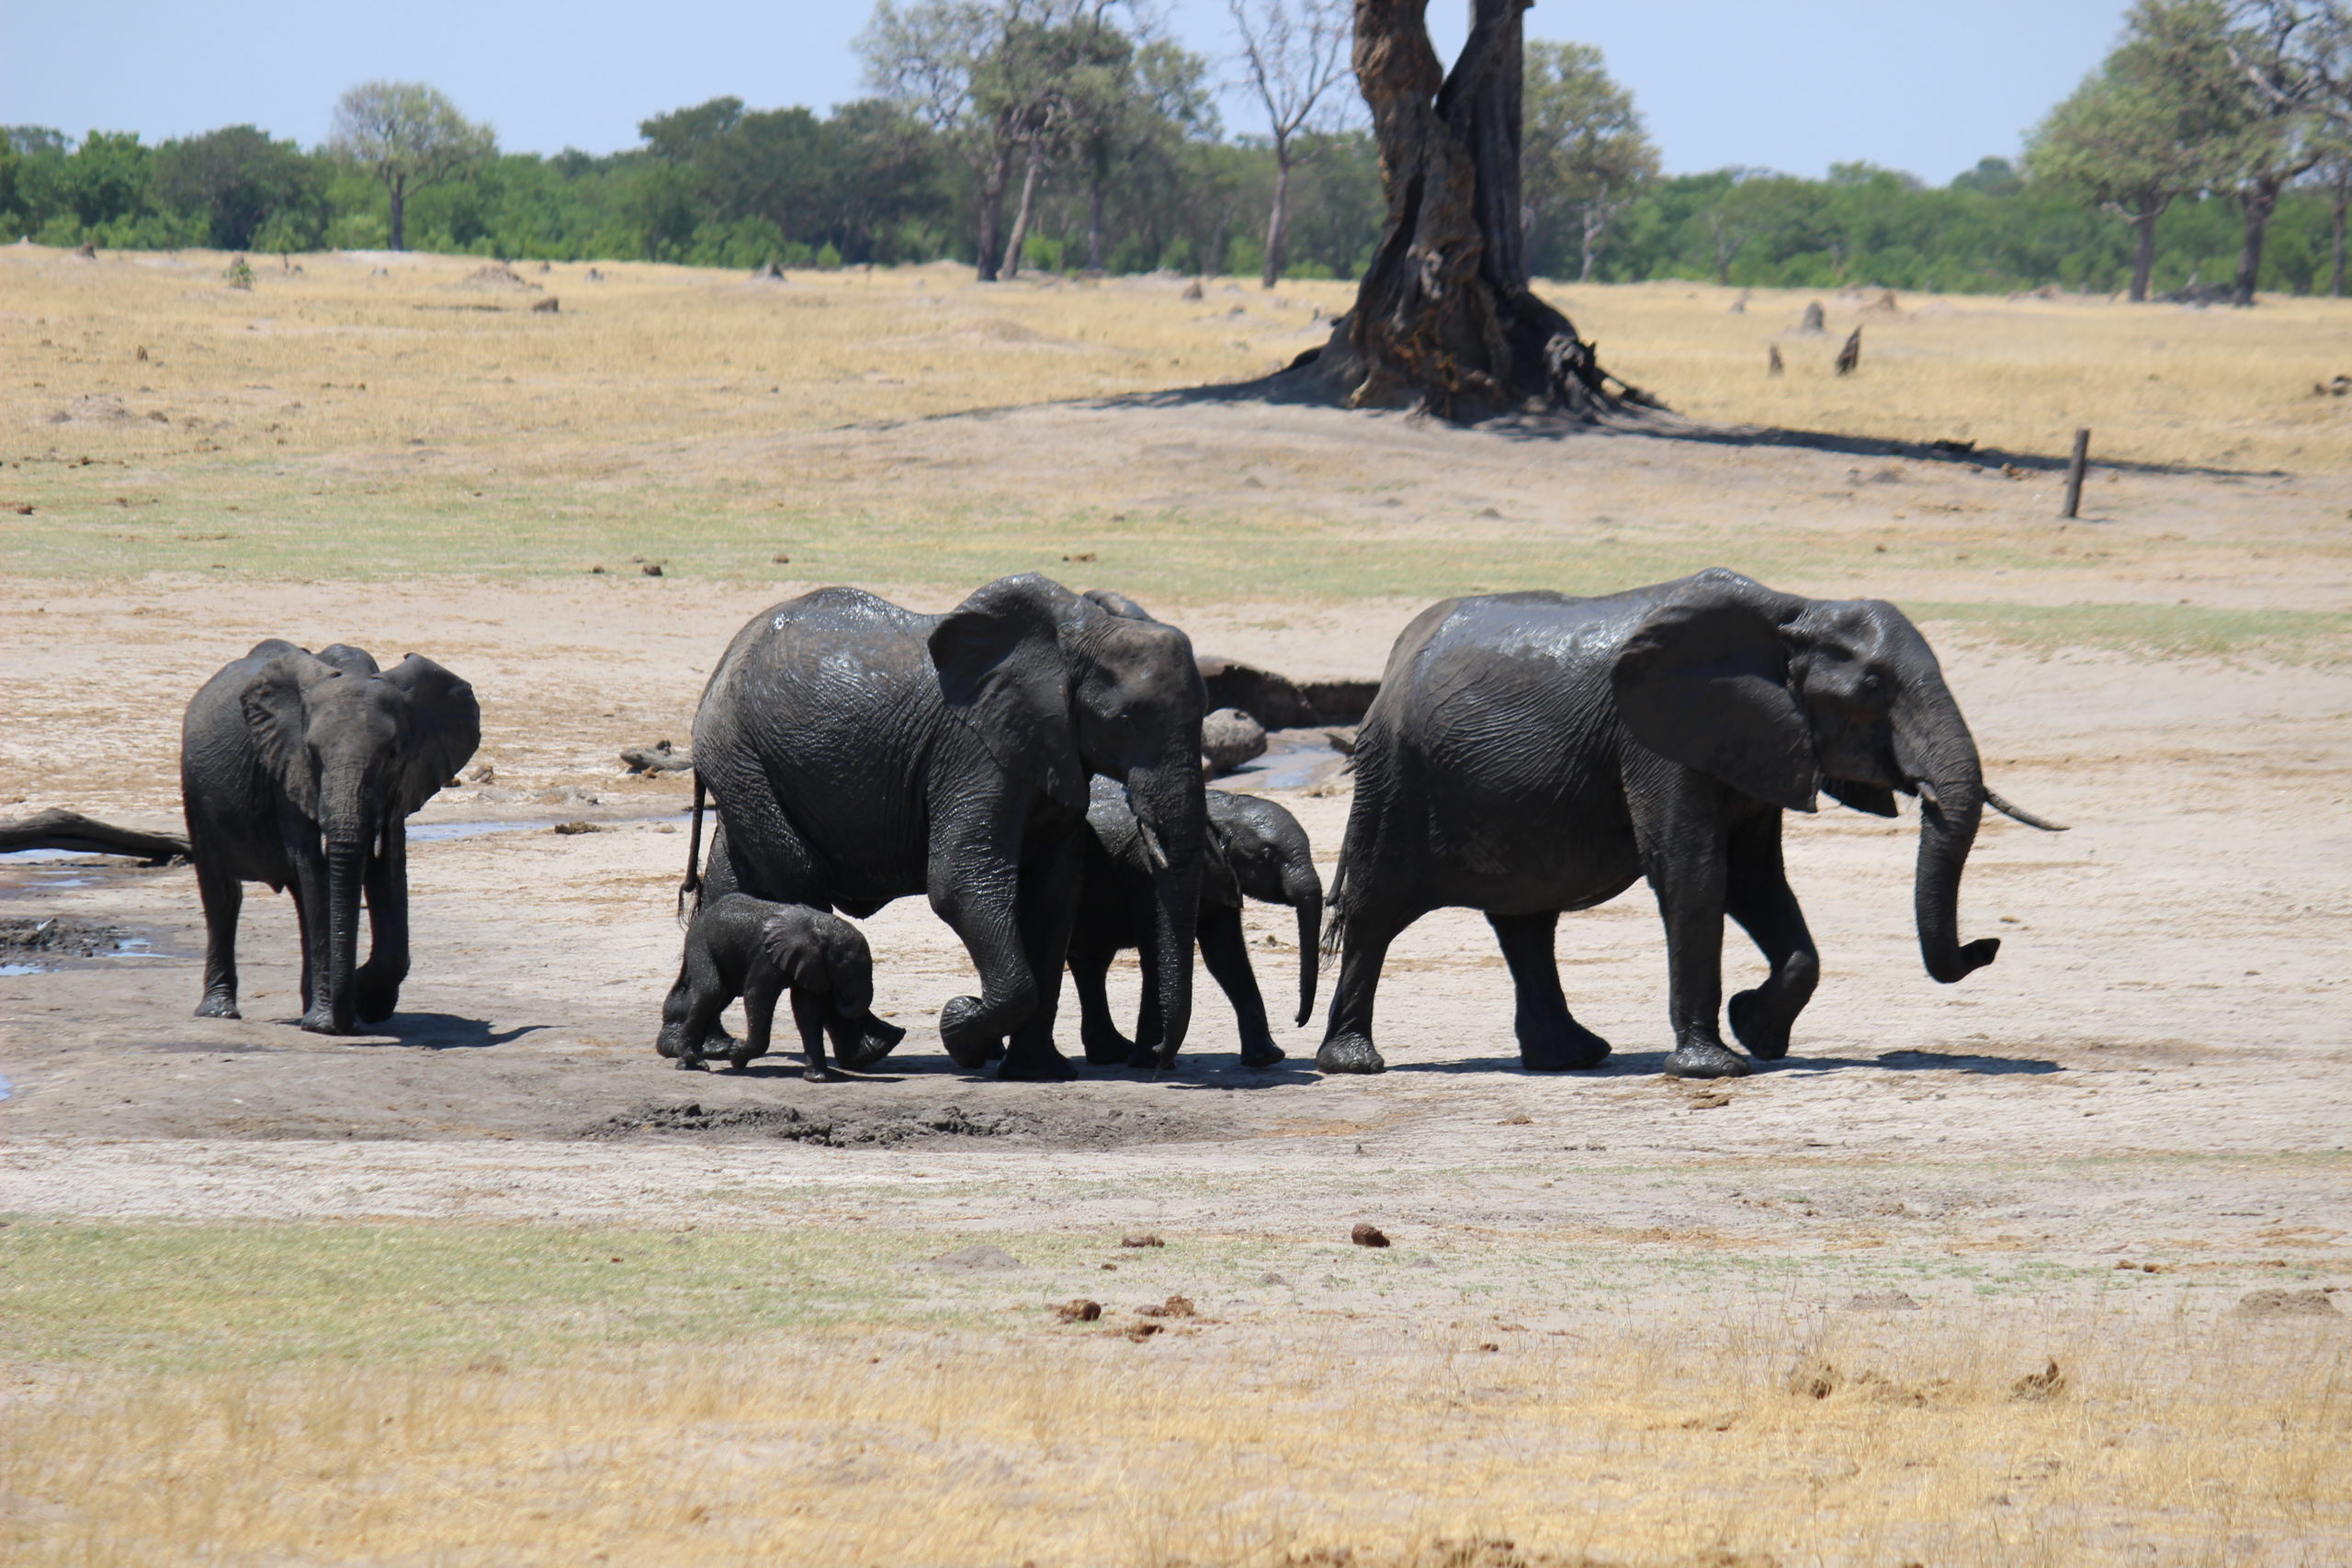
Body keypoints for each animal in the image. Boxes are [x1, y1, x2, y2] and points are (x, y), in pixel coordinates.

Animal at [183, 644, 481, 1034]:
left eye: (393, 754)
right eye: (312, 752)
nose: (349, 1018)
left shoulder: (404, 781)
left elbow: (388, 869)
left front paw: (365, 1000)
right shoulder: (287, 768)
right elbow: (316, 867)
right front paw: (332, 1020)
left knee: (298, 898)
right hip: (195, 791)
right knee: (223, 894)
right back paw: (220, 1012)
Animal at [668, 893, 879, 1081]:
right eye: (845, 966)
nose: (840, 993)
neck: (818, 926)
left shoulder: (812, 963)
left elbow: (807, 1009)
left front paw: (817, 1078)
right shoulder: (765, 956)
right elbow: (757, 994)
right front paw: (735, 1056)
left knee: (721, 997)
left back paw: (688, 1064)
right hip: (699, 941)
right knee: (712, 990)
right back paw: (693, 1060)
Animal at [1072, 780, 1326, 1072]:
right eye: (1266, 856)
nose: (1297, 1019)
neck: (1216, 808)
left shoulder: (1221, 876)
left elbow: (1226, 957)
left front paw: (1266, 1058)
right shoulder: (1147, 874)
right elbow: (1160, 955)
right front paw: (1152, 1060)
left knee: (1091, 964)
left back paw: (1112, 1054)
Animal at [1317, 573, 2069, 1081]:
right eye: (1874, 687)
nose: (1987, 944)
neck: (1793, 610)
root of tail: (1394, 661)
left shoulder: (1757, 739)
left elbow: (1758, 882)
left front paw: (1757, 1030)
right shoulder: (1658, 737)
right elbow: (1694, 870)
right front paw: (1715, 1066)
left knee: (1527, 922)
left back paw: (1573, 1057)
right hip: (1396, 776)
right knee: (1376, 911)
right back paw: (1354, 1063)